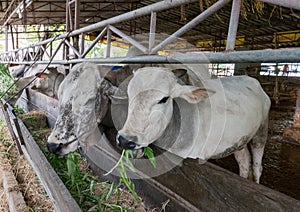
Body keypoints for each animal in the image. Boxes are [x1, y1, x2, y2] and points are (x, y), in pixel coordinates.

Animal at [116, 67, 270, 183]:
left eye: (163, 99)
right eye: (129, 95)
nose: (125, 140)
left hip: (261, 133)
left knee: (257, 167)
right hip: (239, 142)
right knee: (244, 163)